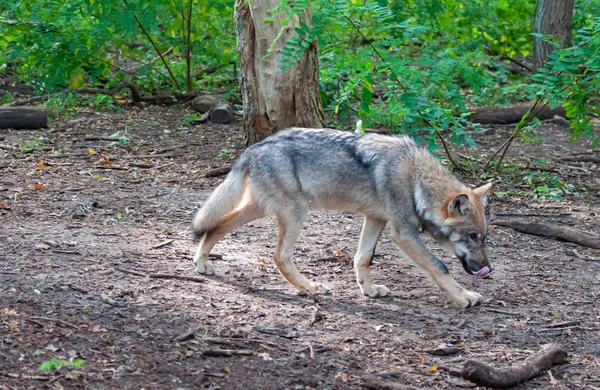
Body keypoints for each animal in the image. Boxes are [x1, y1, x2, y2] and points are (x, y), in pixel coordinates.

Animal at [192, 128, 492, 308]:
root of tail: (255, 147)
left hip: (260, 209)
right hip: (296, 212)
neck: (416, 179)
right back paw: (309, 287)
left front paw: (368, 290)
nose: (488, 269)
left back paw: (201, 262)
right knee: (280, 256)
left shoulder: (375, 219)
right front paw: (463, 296)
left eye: (484, 237)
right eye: (472, 236)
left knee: (216, 224)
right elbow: (440, 266)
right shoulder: (403, 232)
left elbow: (363, 258)